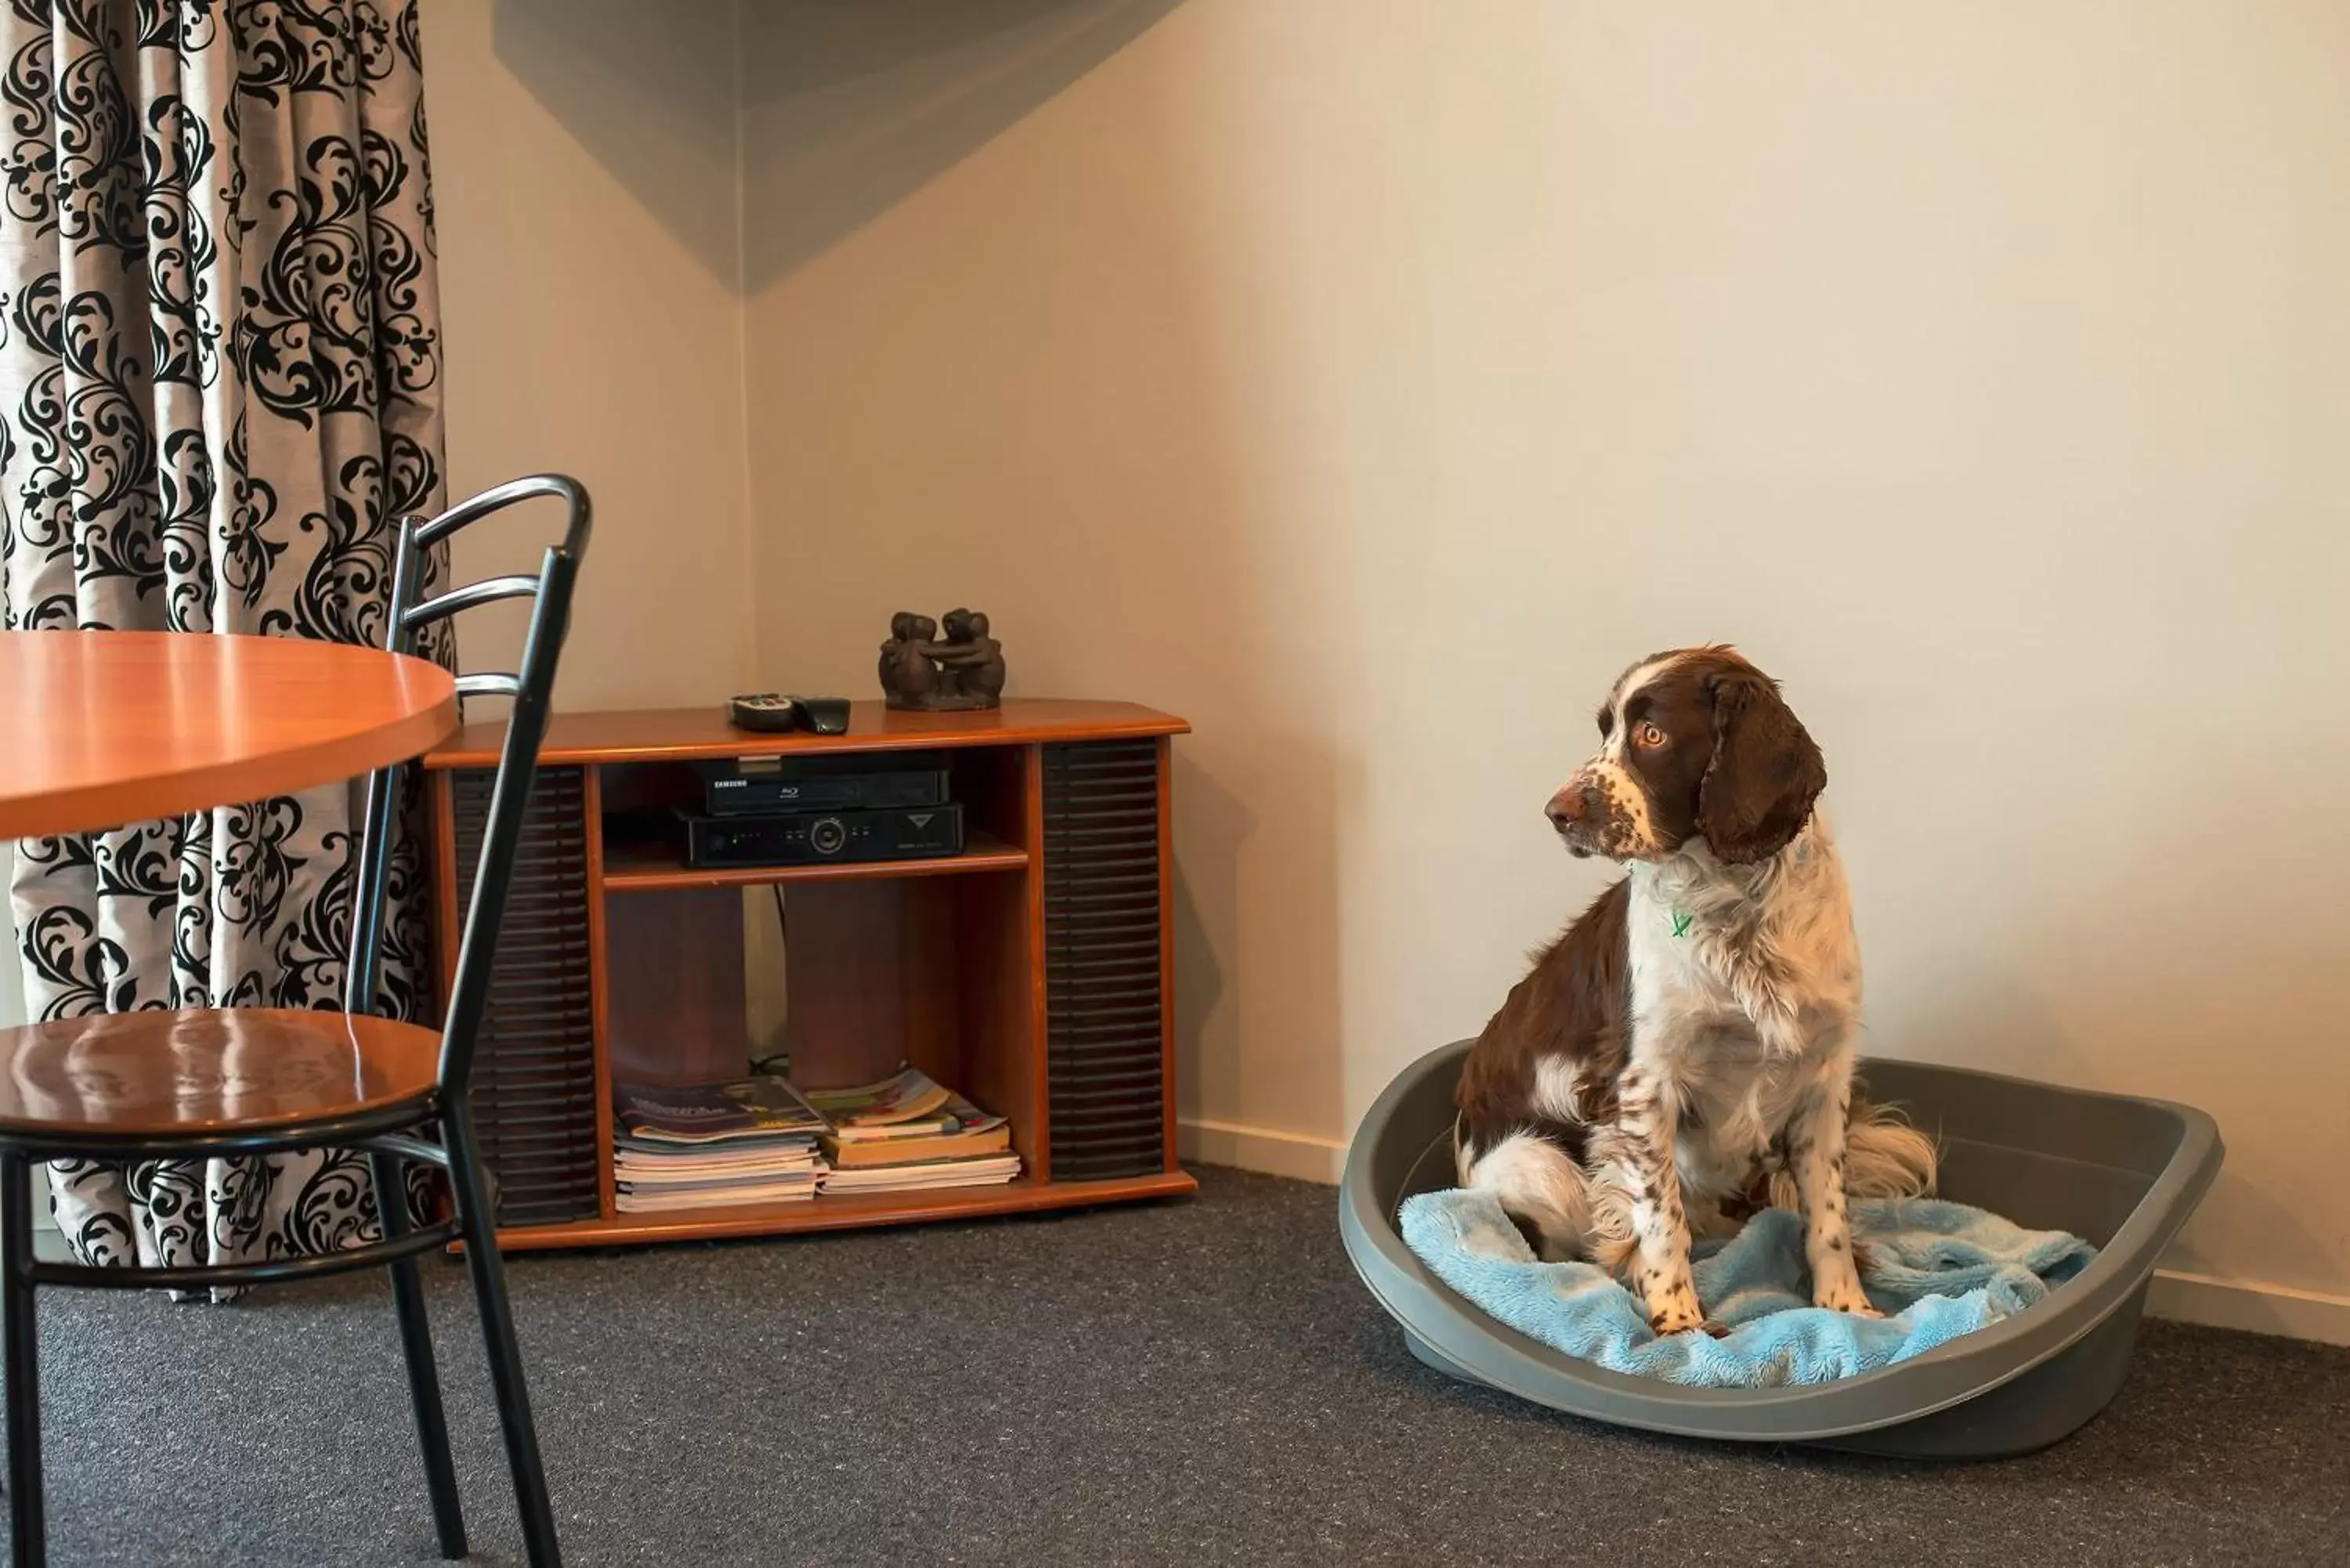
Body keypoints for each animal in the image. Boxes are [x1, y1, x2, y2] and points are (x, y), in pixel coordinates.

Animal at [1457, 649, 1936, 1335]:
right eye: (1605, 730)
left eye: (1651, 734)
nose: (1557, 812)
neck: (1734, 904)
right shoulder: (1643, 1086)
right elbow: (1662, 1222)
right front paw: (1678, 1322)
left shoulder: (1823, 1079)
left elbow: (1828, 1215)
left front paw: (1848, 1307)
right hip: (1541, 1164)